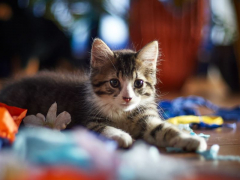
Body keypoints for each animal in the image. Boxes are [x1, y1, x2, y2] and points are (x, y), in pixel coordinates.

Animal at [0, 39, 206, 150]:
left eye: (138, 83)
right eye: (114, 83)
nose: (127, 98)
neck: (123, 114)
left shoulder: (147, 118)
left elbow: (165, 129)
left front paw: (191, 140)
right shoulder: (87, 121)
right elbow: (105, 128)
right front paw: (122, 136)